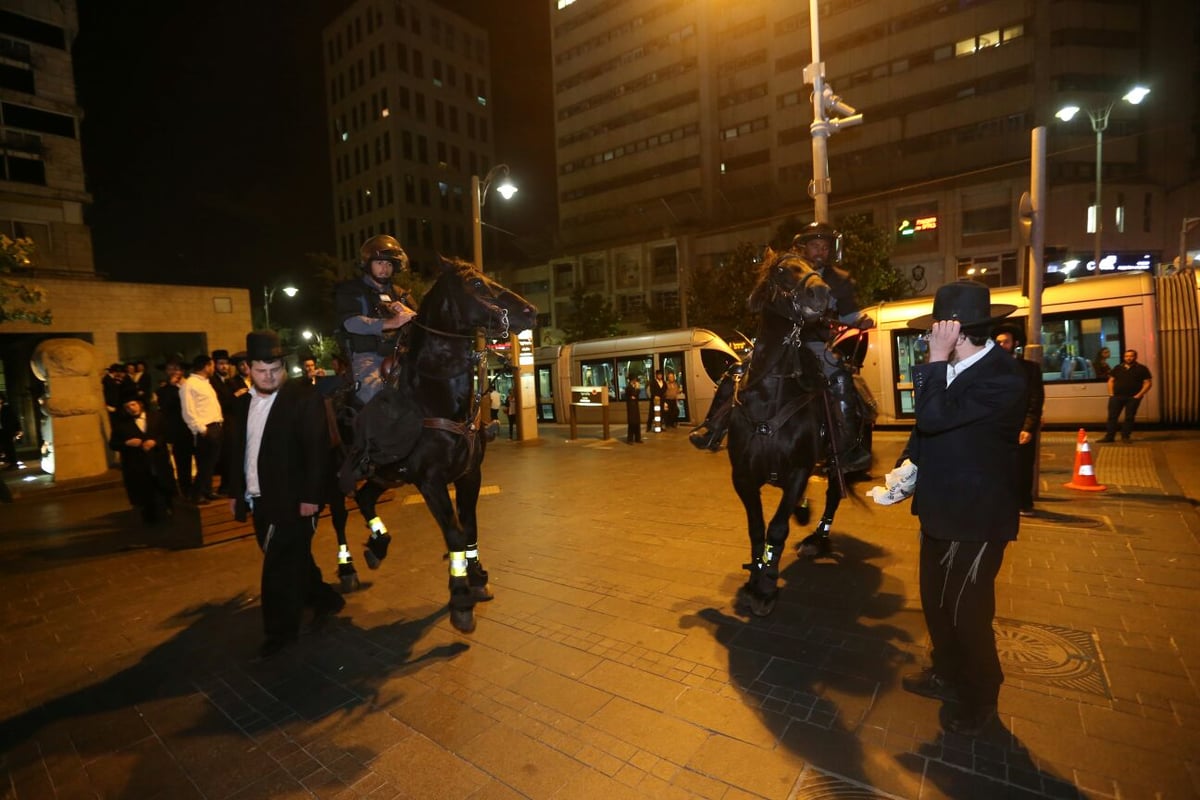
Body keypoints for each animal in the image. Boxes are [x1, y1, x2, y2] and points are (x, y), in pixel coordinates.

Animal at [348, 256, 535, 633]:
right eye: (476, 284)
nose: (531, 312)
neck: (433, 397)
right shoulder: (431, 482)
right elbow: (454, 533)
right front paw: (460, 598)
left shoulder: (468, 475)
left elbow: (470, 527)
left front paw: (476, 577)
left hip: (384, 474)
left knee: (364, 498)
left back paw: (378, 545)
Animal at [720, 253, 844, 618]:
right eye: (781, 270)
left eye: (813, 268)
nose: (823, 294)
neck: (770, 398)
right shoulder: (743, 477)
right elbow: (757, 528)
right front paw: (754, 579)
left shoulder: (799, 472)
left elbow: (777, 528)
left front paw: (766, 587)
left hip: (838, 462)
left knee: (834, 495)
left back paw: (818, 540)